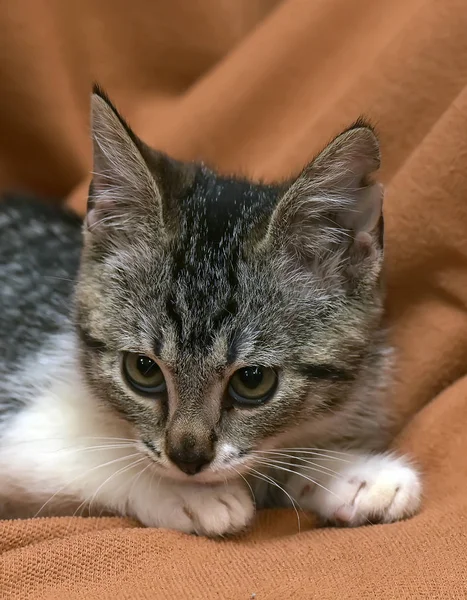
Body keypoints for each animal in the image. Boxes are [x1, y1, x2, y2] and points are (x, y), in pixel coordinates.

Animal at [0, 85, 422, 536]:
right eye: (142, 370)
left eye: (253, 381)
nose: (187, 459)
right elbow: (90, 456)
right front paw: (191, 494)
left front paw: (353, 474)